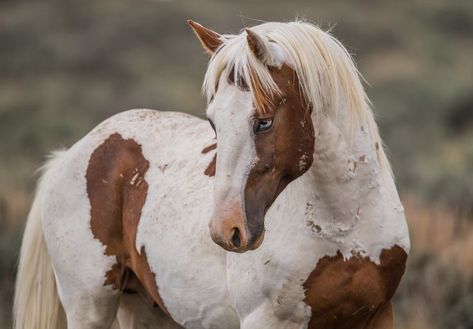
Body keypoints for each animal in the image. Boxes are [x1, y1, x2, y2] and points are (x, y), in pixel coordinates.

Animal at [12, 20, 408, 328]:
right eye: (213, 122)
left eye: (264, 122)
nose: (226, 230)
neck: (342, 224)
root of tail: (70, 155)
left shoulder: (379, 315)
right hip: (89, 305)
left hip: (144, 306)